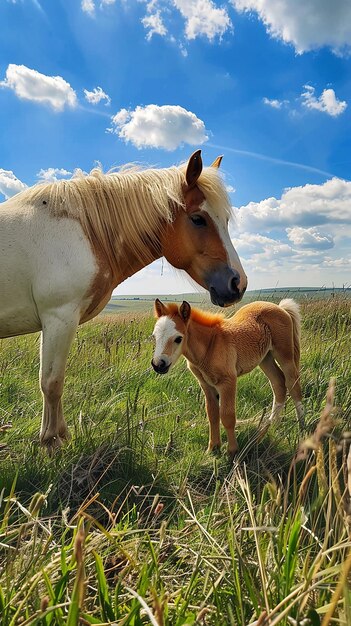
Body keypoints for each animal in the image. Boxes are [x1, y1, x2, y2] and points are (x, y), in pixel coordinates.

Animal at [0, 150, 248, 448]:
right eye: (198, 219)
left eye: (225, 221)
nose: (238, 284)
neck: (83, 232)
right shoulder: (58, 317)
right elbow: (51, 383)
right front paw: (51, 442)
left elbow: (54, 382)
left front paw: (61, 436)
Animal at [153, 298, 304, 458]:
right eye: (154, 336)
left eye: (178, 338)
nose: (158, 364)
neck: (210, 346)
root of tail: (280, 307)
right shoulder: (206, 385)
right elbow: (212, 414)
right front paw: (213, 448)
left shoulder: (228, 382)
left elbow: (227, 416)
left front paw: (232, 452)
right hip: (265, 358)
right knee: (278, 383)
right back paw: (272, 424)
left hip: (285, 354)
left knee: (293, 384)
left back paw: (302, 427)